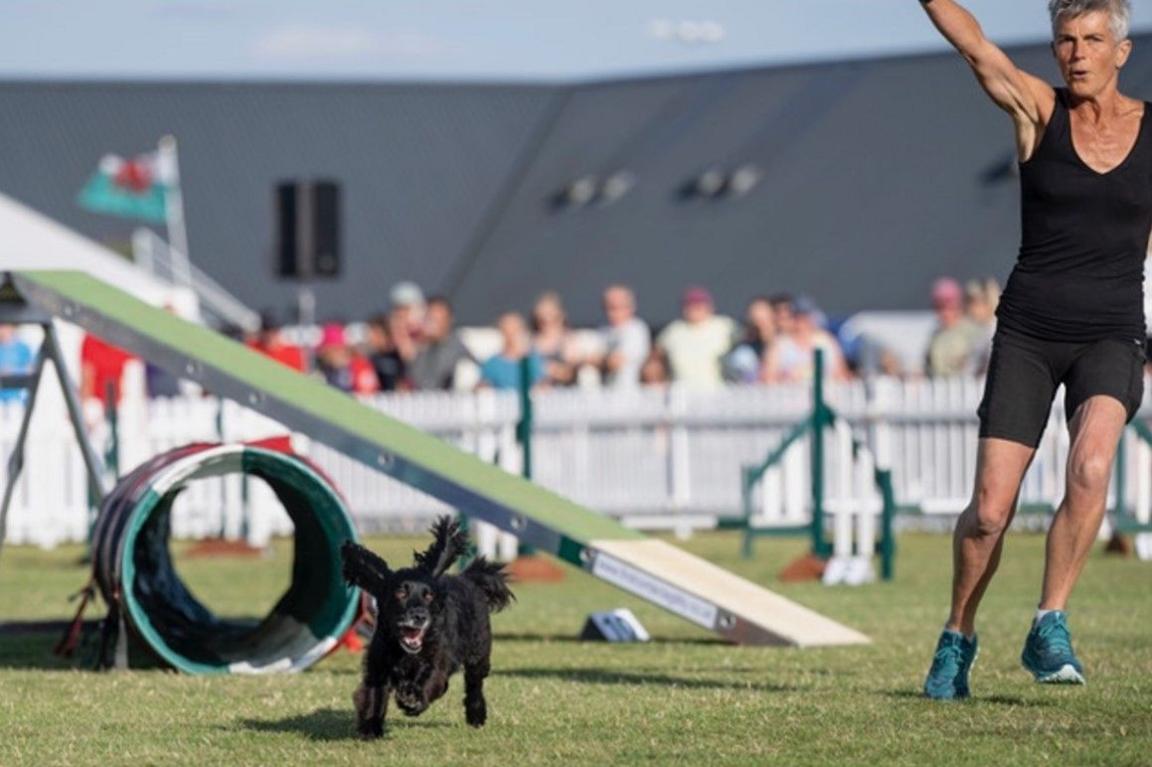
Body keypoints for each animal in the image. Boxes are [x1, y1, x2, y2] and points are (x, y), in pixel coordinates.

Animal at [338, 513, 516, 737]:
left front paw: (412, 699)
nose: (420, 616)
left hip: (479, 652)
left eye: (429, 595)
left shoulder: (438, 659)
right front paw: (371, 729)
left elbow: (431, 679)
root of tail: (468, 578)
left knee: (474, 685)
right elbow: (373, 696)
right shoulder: (377, 666)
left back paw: (476, 715)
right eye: (400, 592)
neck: (403, 652)